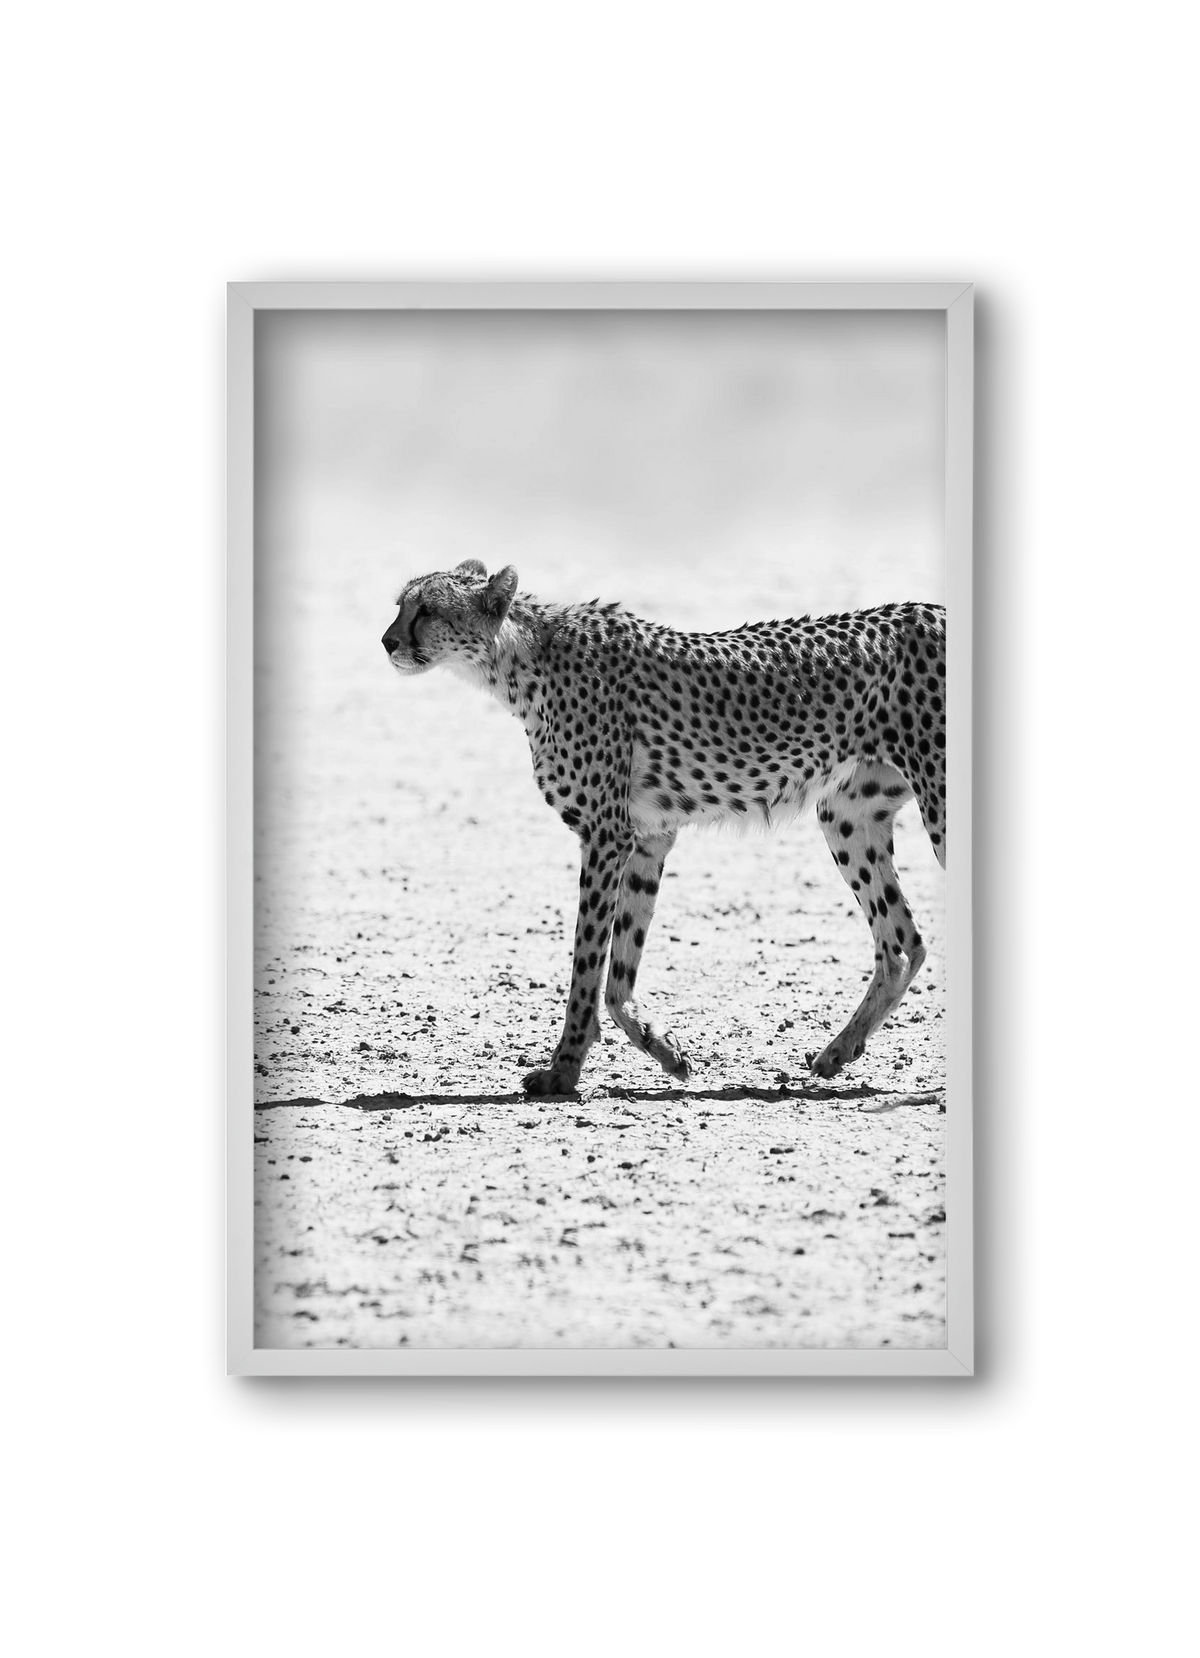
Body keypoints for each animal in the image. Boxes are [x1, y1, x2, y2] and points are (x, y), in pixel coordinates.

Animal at [383, 559, 946, 1097]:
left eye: (427, 609)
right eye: (400, 605)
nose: (387, 641)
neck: (519, 659)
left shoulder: (606, 835)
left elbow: (587, 964)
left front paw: (563, 1071)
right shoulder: (648, 837)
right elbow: (618, 973)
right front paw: (666, 1051)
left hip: (936, 804)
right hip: (847, 816)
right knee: (902, 942)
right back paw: (838, 1052)